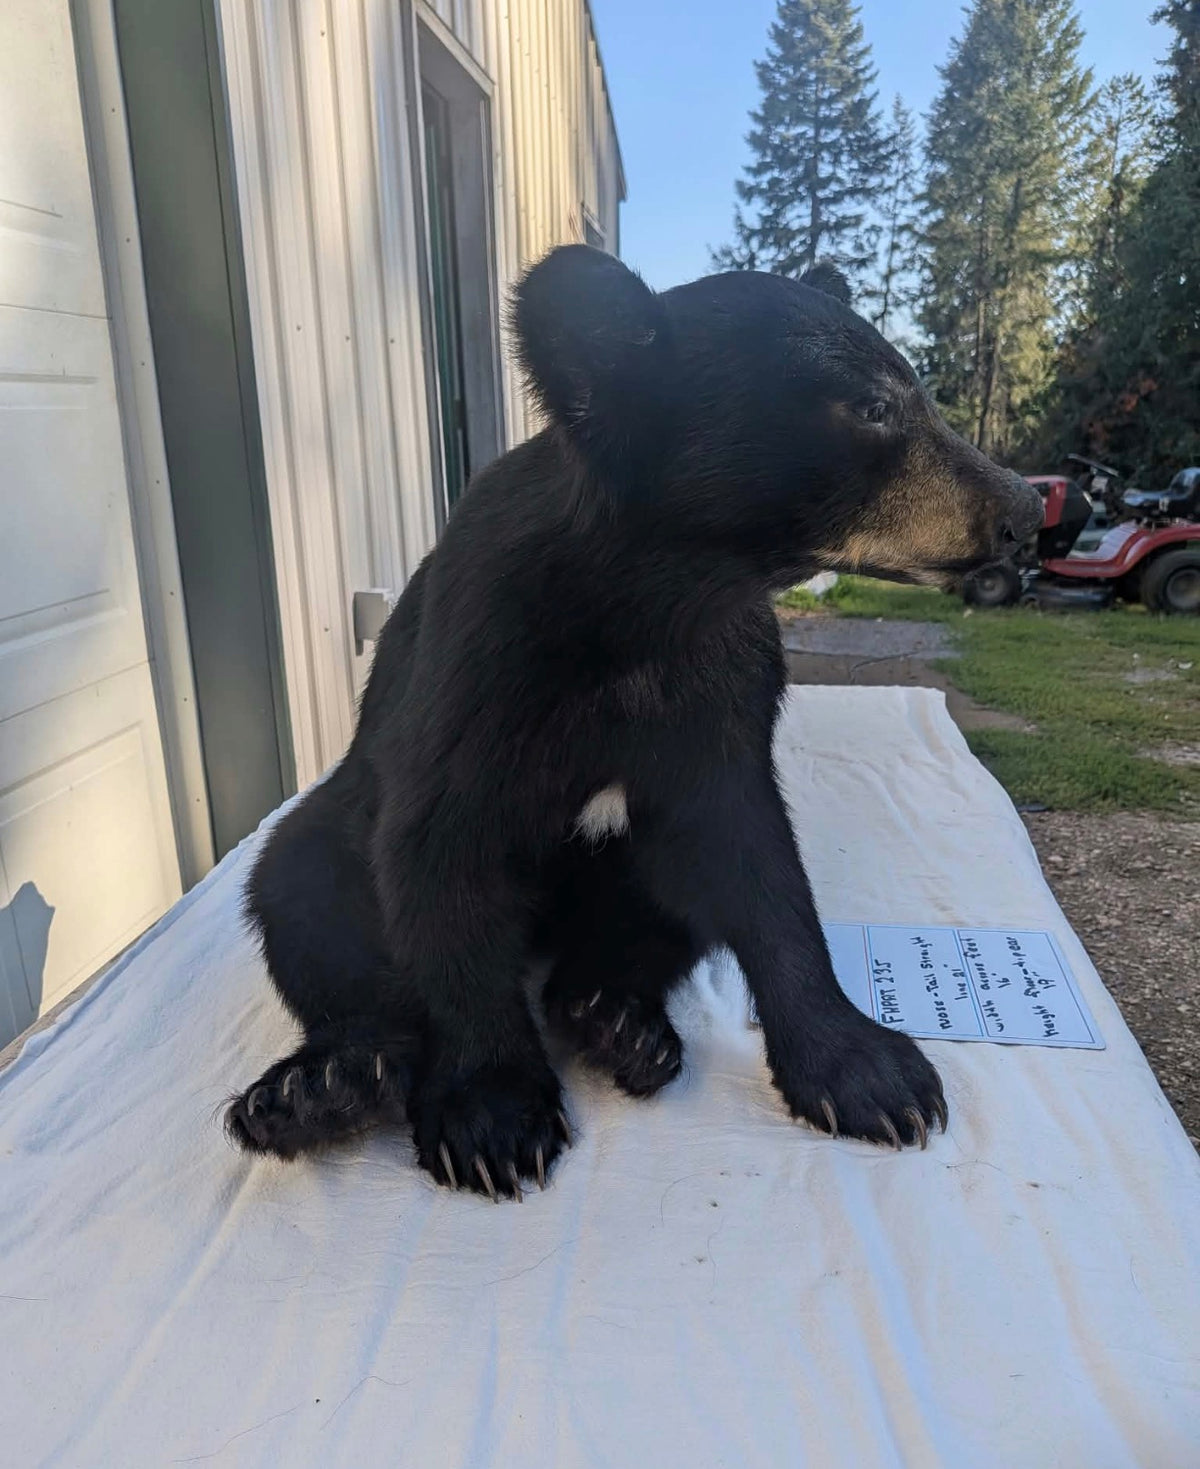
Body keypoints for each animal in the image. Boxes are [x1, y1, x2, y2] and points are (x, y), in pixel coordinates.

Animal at [226, 245, 1042, 1200]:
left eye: (920, 397)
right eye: (874, 407)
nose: (1026, 510)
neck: (652, 603)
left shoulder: (724, 686)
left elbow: (758, 865)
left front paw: (871, 1074)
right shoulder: (479, 669)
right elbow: (440, 857)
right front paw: (492, 1115)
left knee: (662, 913)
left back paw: (616, 1018)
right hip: (326, 827)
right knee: (303, 895)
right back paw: (326, 1085)